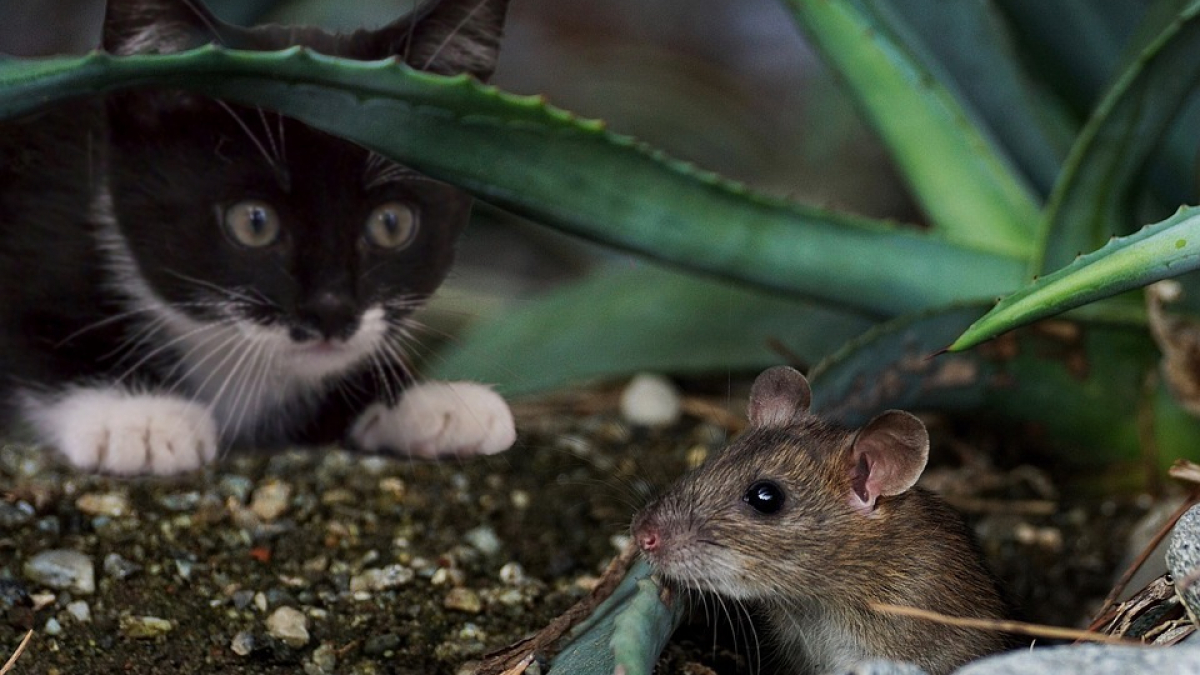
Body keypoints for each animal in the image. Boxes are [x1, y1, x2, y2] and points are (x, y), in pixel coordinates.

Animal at [0, 0, 513, 473]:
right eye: (254, 222)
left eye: (391, 223)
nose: (331, 311)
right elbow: (41, 332)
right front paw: (137, 417)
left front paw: (427, 402)